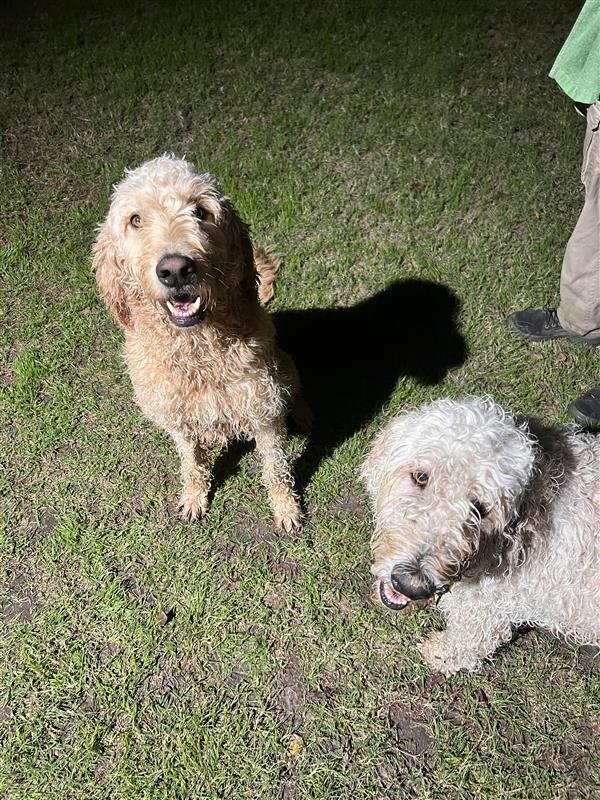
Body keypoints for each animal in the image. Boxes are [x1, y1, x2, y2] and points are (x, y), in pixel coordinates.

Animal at [95, 155, 310, 532]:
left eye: (200, 211)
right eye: (135, 219)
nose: (176, 270)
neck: (197, 351)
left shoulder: (264, 412)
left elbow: (276, 469)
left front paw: (285, 509)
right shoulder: (177, 420)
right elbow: (192, 463)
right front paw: (195, 496)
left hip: (284, 367)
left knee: (294, 392)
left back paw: (304, 413)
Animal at [360, 396, 600, 672]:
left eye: (480, 508)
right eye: (420, 476)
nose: (410, 585)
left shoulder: (485, 612)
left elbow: (467, 643)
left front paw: (439, 654)